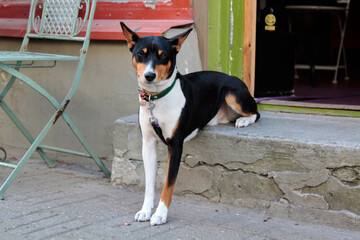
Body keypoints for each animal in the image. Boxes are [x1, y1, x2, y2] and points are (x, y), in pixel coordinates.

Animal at [120, 21, 258, 226]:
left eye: (163, 56)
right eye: (140, 54)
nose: (149, 75)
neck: (157, 98)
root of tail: (232, 76)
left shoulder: (175, 145)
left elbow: (168, 184)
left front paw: (160, 214)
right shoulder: (148, 144)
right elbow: (149, 184)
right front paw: (145, 210)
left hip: (234, 95)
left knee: (256, 112)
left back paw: (243, 120)